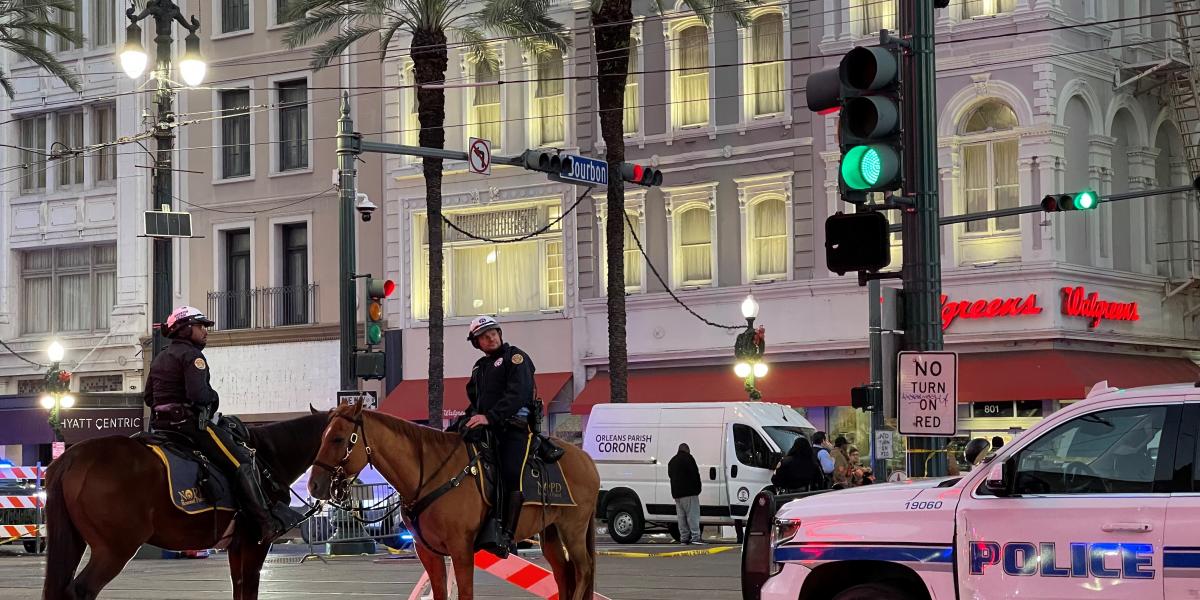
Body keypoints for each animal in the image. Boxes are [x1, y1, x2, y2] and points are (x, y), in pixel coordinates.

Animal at [42, 412, 328, 600]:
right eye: (336, 439)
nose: (319, 486)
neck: (267, 457)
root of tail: (72, 457)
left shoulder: (237, 546)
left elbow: (239, 587)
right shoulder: (254, 543)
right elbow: (249, 588)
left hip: (76, 541)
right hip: (114, 549)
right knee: (80, 591)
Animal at [312, 400, 600, 600]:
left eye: (338, 438)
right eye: (322, 436)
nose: (314, 484)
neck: (430, 473)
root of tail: (586, 459)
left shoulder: (461, 550)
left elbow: (465, 593)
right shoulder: (428, 552)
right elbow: (441, 593)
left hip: (573, 529)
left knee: (583, 569)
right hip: (550, 530)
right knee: (564, 572)